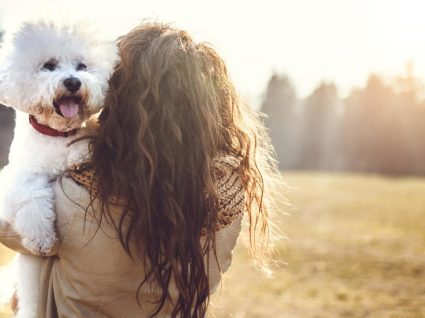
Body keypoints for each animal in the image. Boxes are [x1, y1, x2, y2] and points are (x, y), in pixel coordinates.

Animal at [0, 18, 116, 316]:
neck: (56, 134)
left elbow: (84, 141)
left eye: (82, 66)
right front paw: (41, 239)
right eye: (49, 65)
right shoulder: (17, 178)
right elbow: (31, 197)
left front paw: (79, 153)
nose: (73, 81)